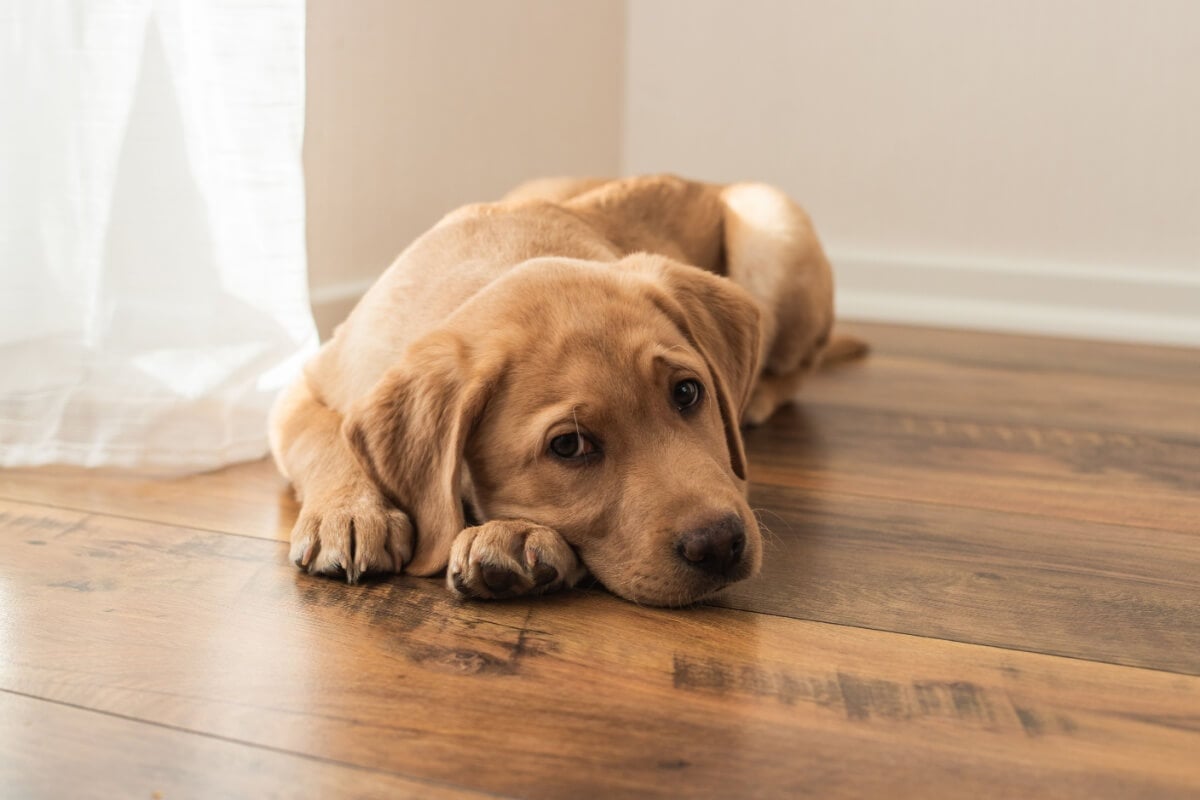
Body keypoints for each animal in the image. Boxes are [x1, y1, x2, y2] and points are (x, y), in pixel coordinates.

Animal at [268, 175, 859, 606]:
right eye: (569, 446)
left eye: (689, 393)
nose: (719, 545)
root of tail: (709, 180)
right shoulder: (301, 386)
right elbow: (325, 440)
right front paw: (348, 514)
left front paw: (511, 537)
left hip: (771, 224)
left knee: (798, 363)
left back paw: (757, 397)